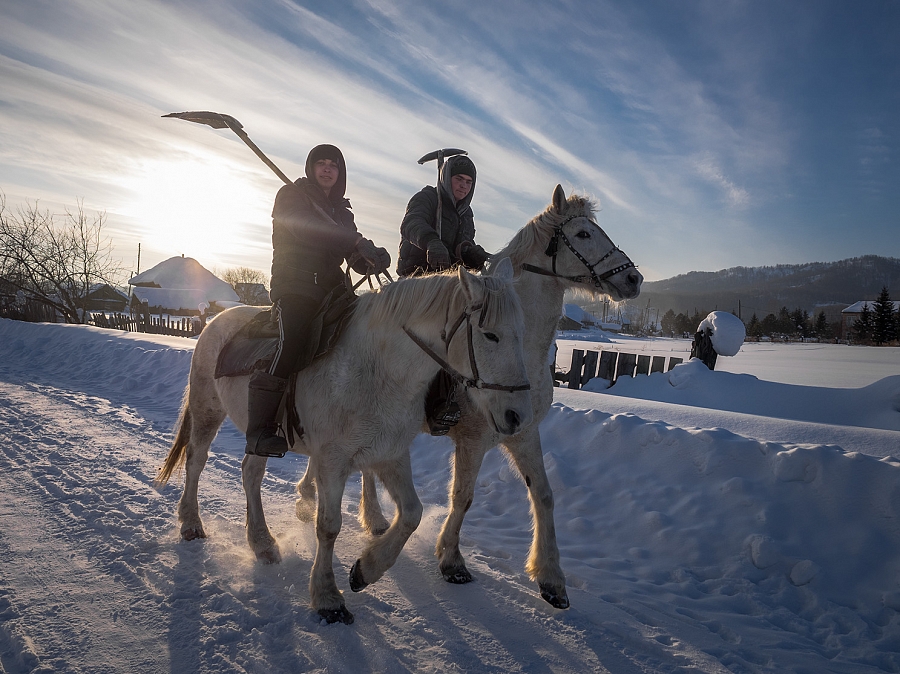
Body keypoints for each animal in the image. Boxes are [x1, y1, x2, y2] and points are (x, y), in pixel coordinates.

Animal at [156, 258, 536, 624]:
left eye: (522, 333)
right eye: (490, 335)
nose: (517, 416)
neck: (377, 369)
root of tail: (216, 320)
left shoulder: (390, 455)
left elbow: (411, 514)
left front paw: (366, 569)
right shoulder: (333, 462)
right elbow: (328, 527)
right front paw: (328, 598)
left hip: (258, 434)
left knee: (251, 473)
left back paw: (262, 544)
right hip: (207, 410)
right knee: (196, 460)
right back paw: (191, 524)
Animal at [298, 184, 644, 608]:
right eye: (582, 234)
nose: (633, 278)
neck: (522, 352)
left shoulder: (523, 433)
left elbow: (544, 495)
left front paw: (551, 578)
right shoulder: (473, 439)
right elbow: (462, 496)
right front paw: (451, 559)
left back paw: (370, 518)